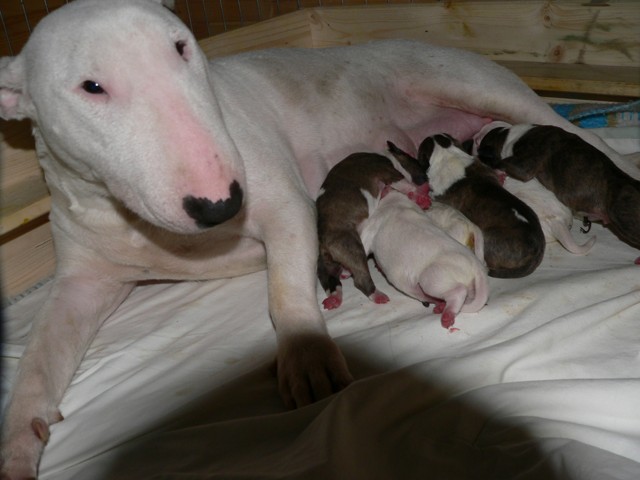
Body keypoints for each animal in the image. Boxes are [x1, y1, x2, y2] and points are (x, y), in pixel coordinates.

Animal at [316, 152, 429, 310]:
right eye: (418, 165)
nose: (427, 180)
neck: (388, 157)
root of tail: (323, 242)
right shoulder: (391, 175)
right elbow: (406, 185)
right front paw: (420, 196)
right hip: (352, 247)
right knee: (360, 279)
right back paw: (377, 295)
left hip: (326, 263)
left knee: (330, 279)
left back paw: (334, 298)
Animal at [359, 188, 489, 329]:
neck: (398, 202)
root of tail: (477, 267)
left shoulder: (373, 224)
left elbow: (363, 243)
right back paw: (441, 306)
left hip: (432, 277)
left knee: (458, 292)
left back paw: (447, 315)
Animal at [474, 122, 640, 250]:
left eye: (478, 141)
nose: (474, 136)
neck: (508, 133)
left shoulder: (526, 163)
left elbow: (505, 163)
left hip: (624, 218)